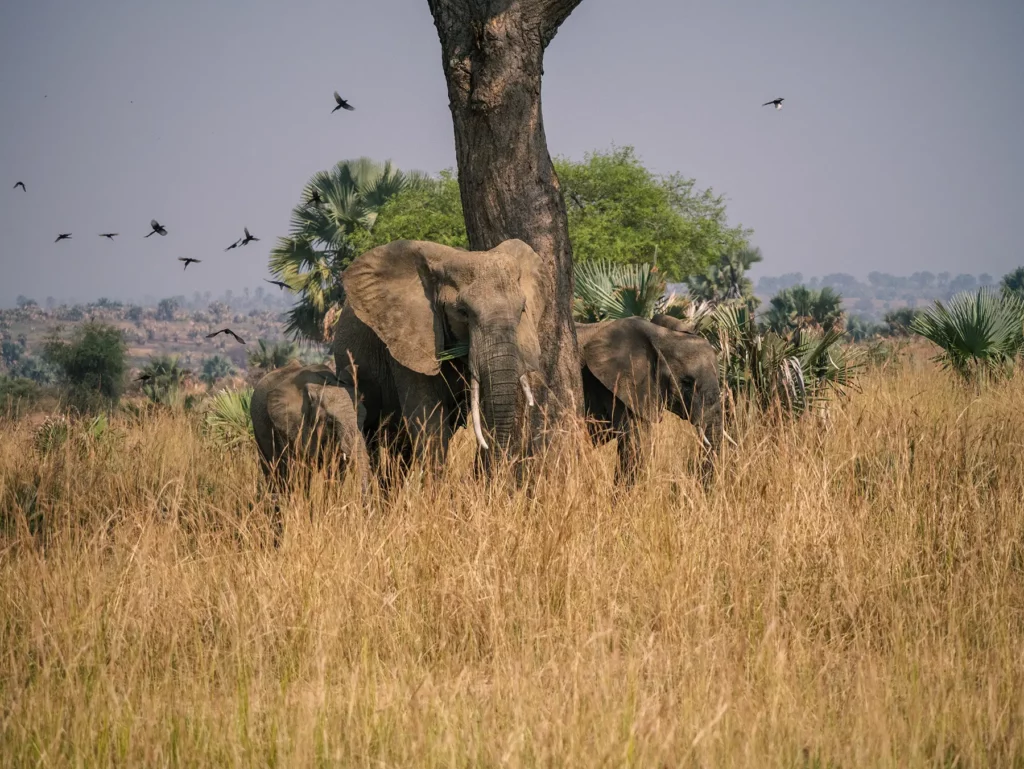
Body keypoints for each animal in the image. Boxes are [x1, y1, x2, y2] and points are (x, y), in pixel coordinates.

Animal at [250, 361, 370, 514]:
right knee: (274, 470)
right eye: (331, 422)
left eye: (362, 418)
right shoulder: (287, 425)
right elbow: (296, 470)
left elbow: (335, 472)